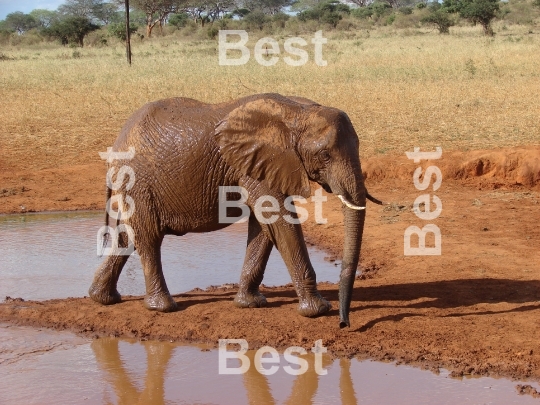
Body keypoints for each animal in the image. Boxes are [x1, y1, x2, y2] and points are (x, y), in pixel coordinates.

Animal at [88, 93, 382, 326]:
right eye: (325, 155)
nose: (344, 323)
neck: (297, 111)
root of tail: (117, 141)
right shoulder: (256, 162)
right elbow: (279, 220)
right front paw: (318, 310)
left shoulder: (260, 164)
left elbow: (264, 227)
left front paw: (250, 304)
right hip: (137, 180)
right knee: (148, 238)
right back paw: (163, 307)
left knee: (128, 236)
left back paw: (102, 298)